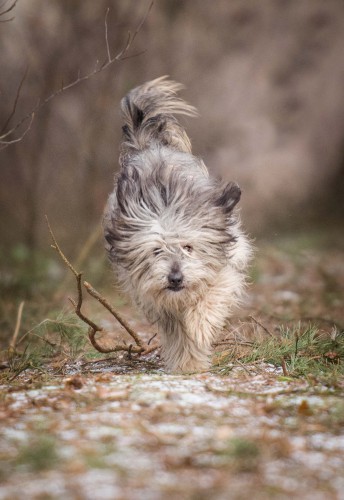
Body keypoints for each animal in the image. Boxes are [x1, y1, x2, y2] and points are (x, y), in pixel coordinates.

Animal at [103, 76, 251, 374]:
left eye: (188, 247)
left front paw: (200, 325)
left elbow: (213, 292)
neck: (165, 198)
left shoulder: (227, 261)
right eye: (156, 251)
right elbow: (177, 330)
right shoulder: (154, 296)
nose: (175, 278)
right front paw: (188, 363)